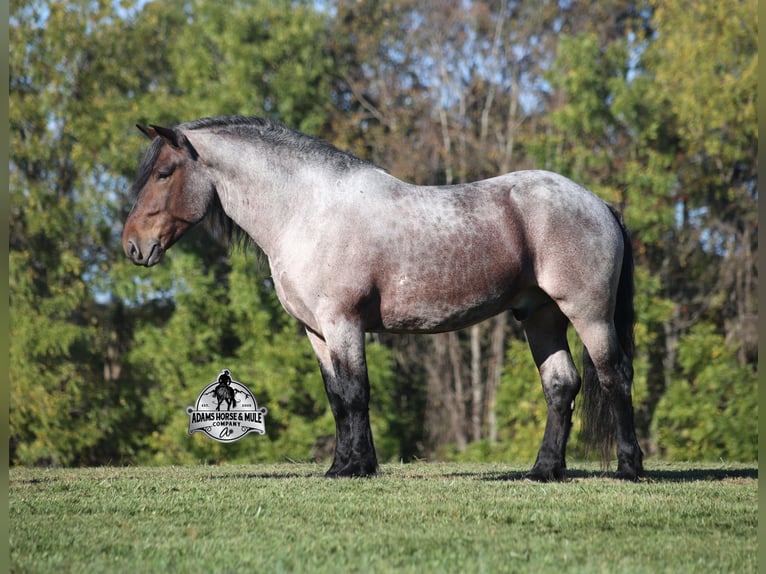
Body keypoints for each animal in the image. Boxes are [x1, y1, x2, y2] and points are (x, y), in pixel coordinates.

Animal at [122, 115, 643, 481]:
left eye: (164, 173)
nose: (133, 247)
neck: (305, 210)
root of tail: (598, 203)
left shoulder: (343, 322)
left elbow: (357, 393)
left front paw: (359, 467)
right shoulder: (316, 331)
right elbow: (337, 397)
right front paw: (340, 466)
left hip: (588, 314)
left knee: (614, 376)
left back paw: (629, 468)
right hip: (541, 316)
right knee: (561, 385)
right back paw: (543, 471)